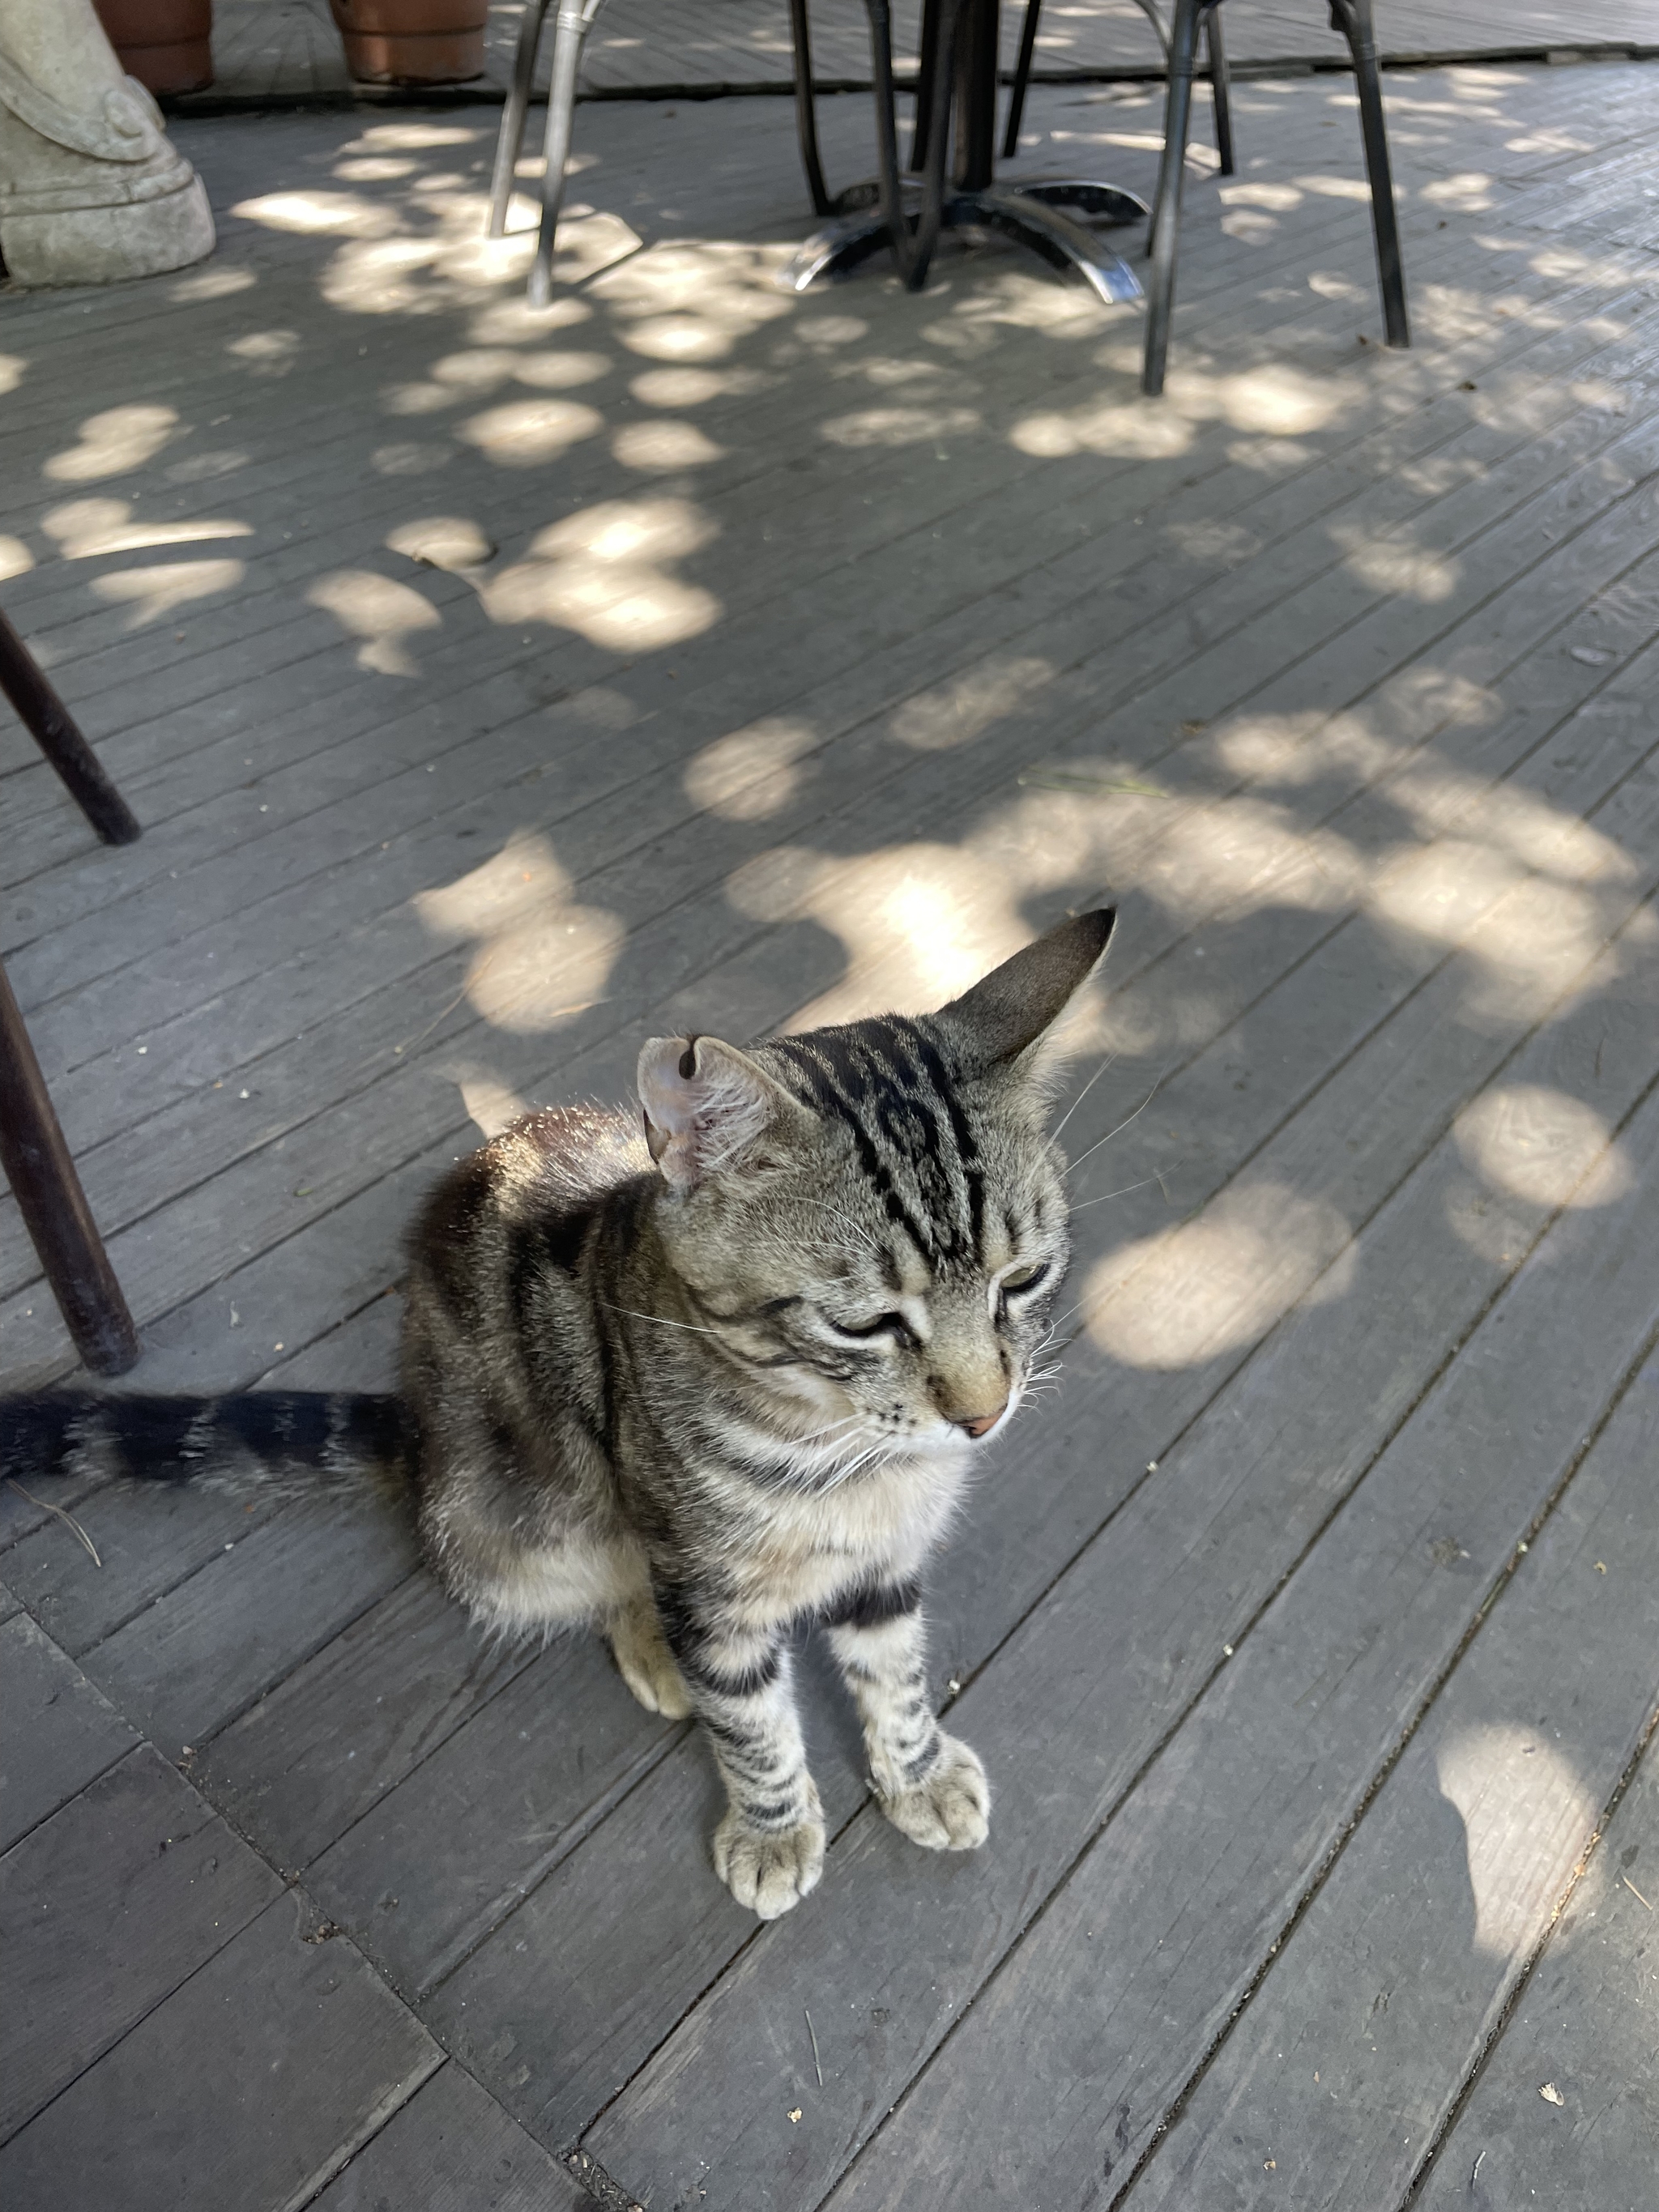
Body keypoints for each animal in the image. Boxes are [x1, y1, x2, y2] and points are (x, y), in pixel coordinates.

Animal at [3, 906, 1119, 1929]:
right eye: (866, 1322)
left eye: (1023, 1279)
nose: (982, 1415)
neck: (848, 1459)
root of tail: (417, 1430)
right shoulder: (702, 1575)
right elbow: (749, 1722)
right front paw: (770, 1827)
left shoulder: (884, 1559)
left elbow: (892, 1670)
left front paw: (915, 1769)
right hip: (525, 1522)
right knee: (606, 1581)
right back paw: (654, 1651)